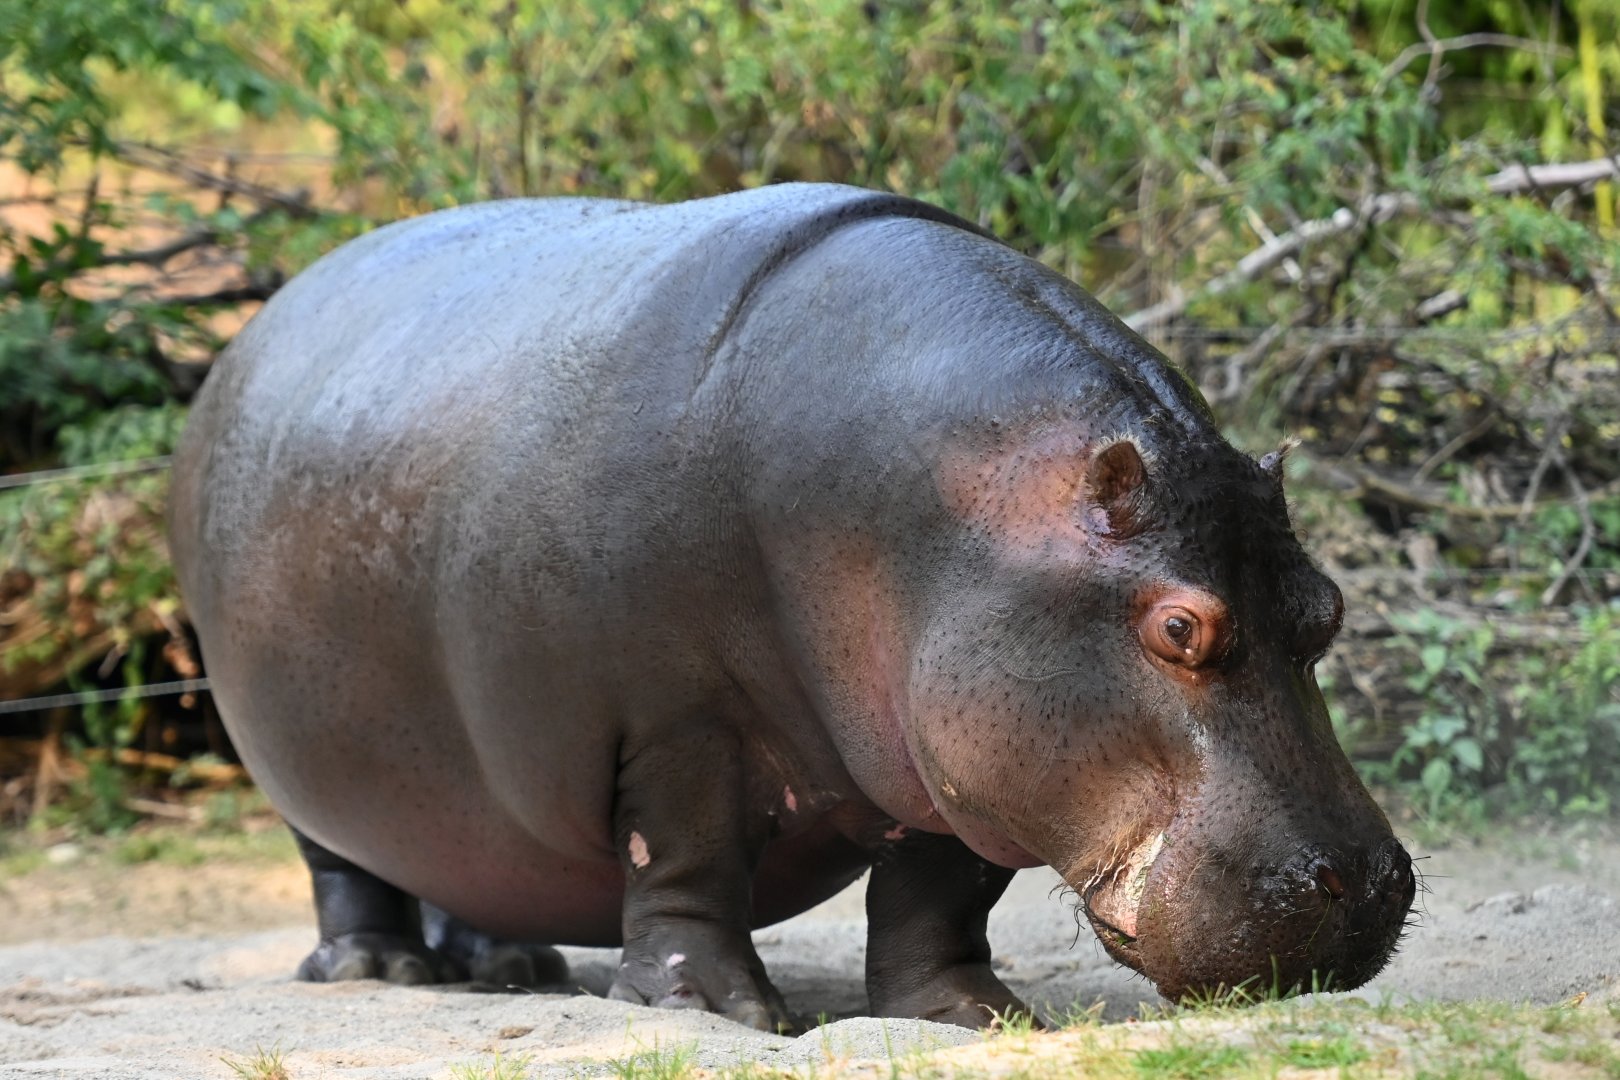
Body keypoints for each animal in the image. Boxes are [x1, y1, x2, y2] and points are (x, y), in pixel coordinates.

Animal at [168, 183, 1415, 1031]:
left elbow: (939, 898)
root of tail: (250, 332)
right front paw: (715, 1013)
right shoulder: (673, 723)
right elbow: (685, 861)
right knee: (346, 871)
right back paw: (383, 971)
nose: (1365, 887)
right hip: (295, 763)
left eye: (1328, 608)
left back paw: (512, 967)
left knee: (463, 858)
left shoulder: (952, 751)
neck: (959, 504)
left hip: (457, 792)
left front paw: (973, 1017)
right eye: (1177, 629)